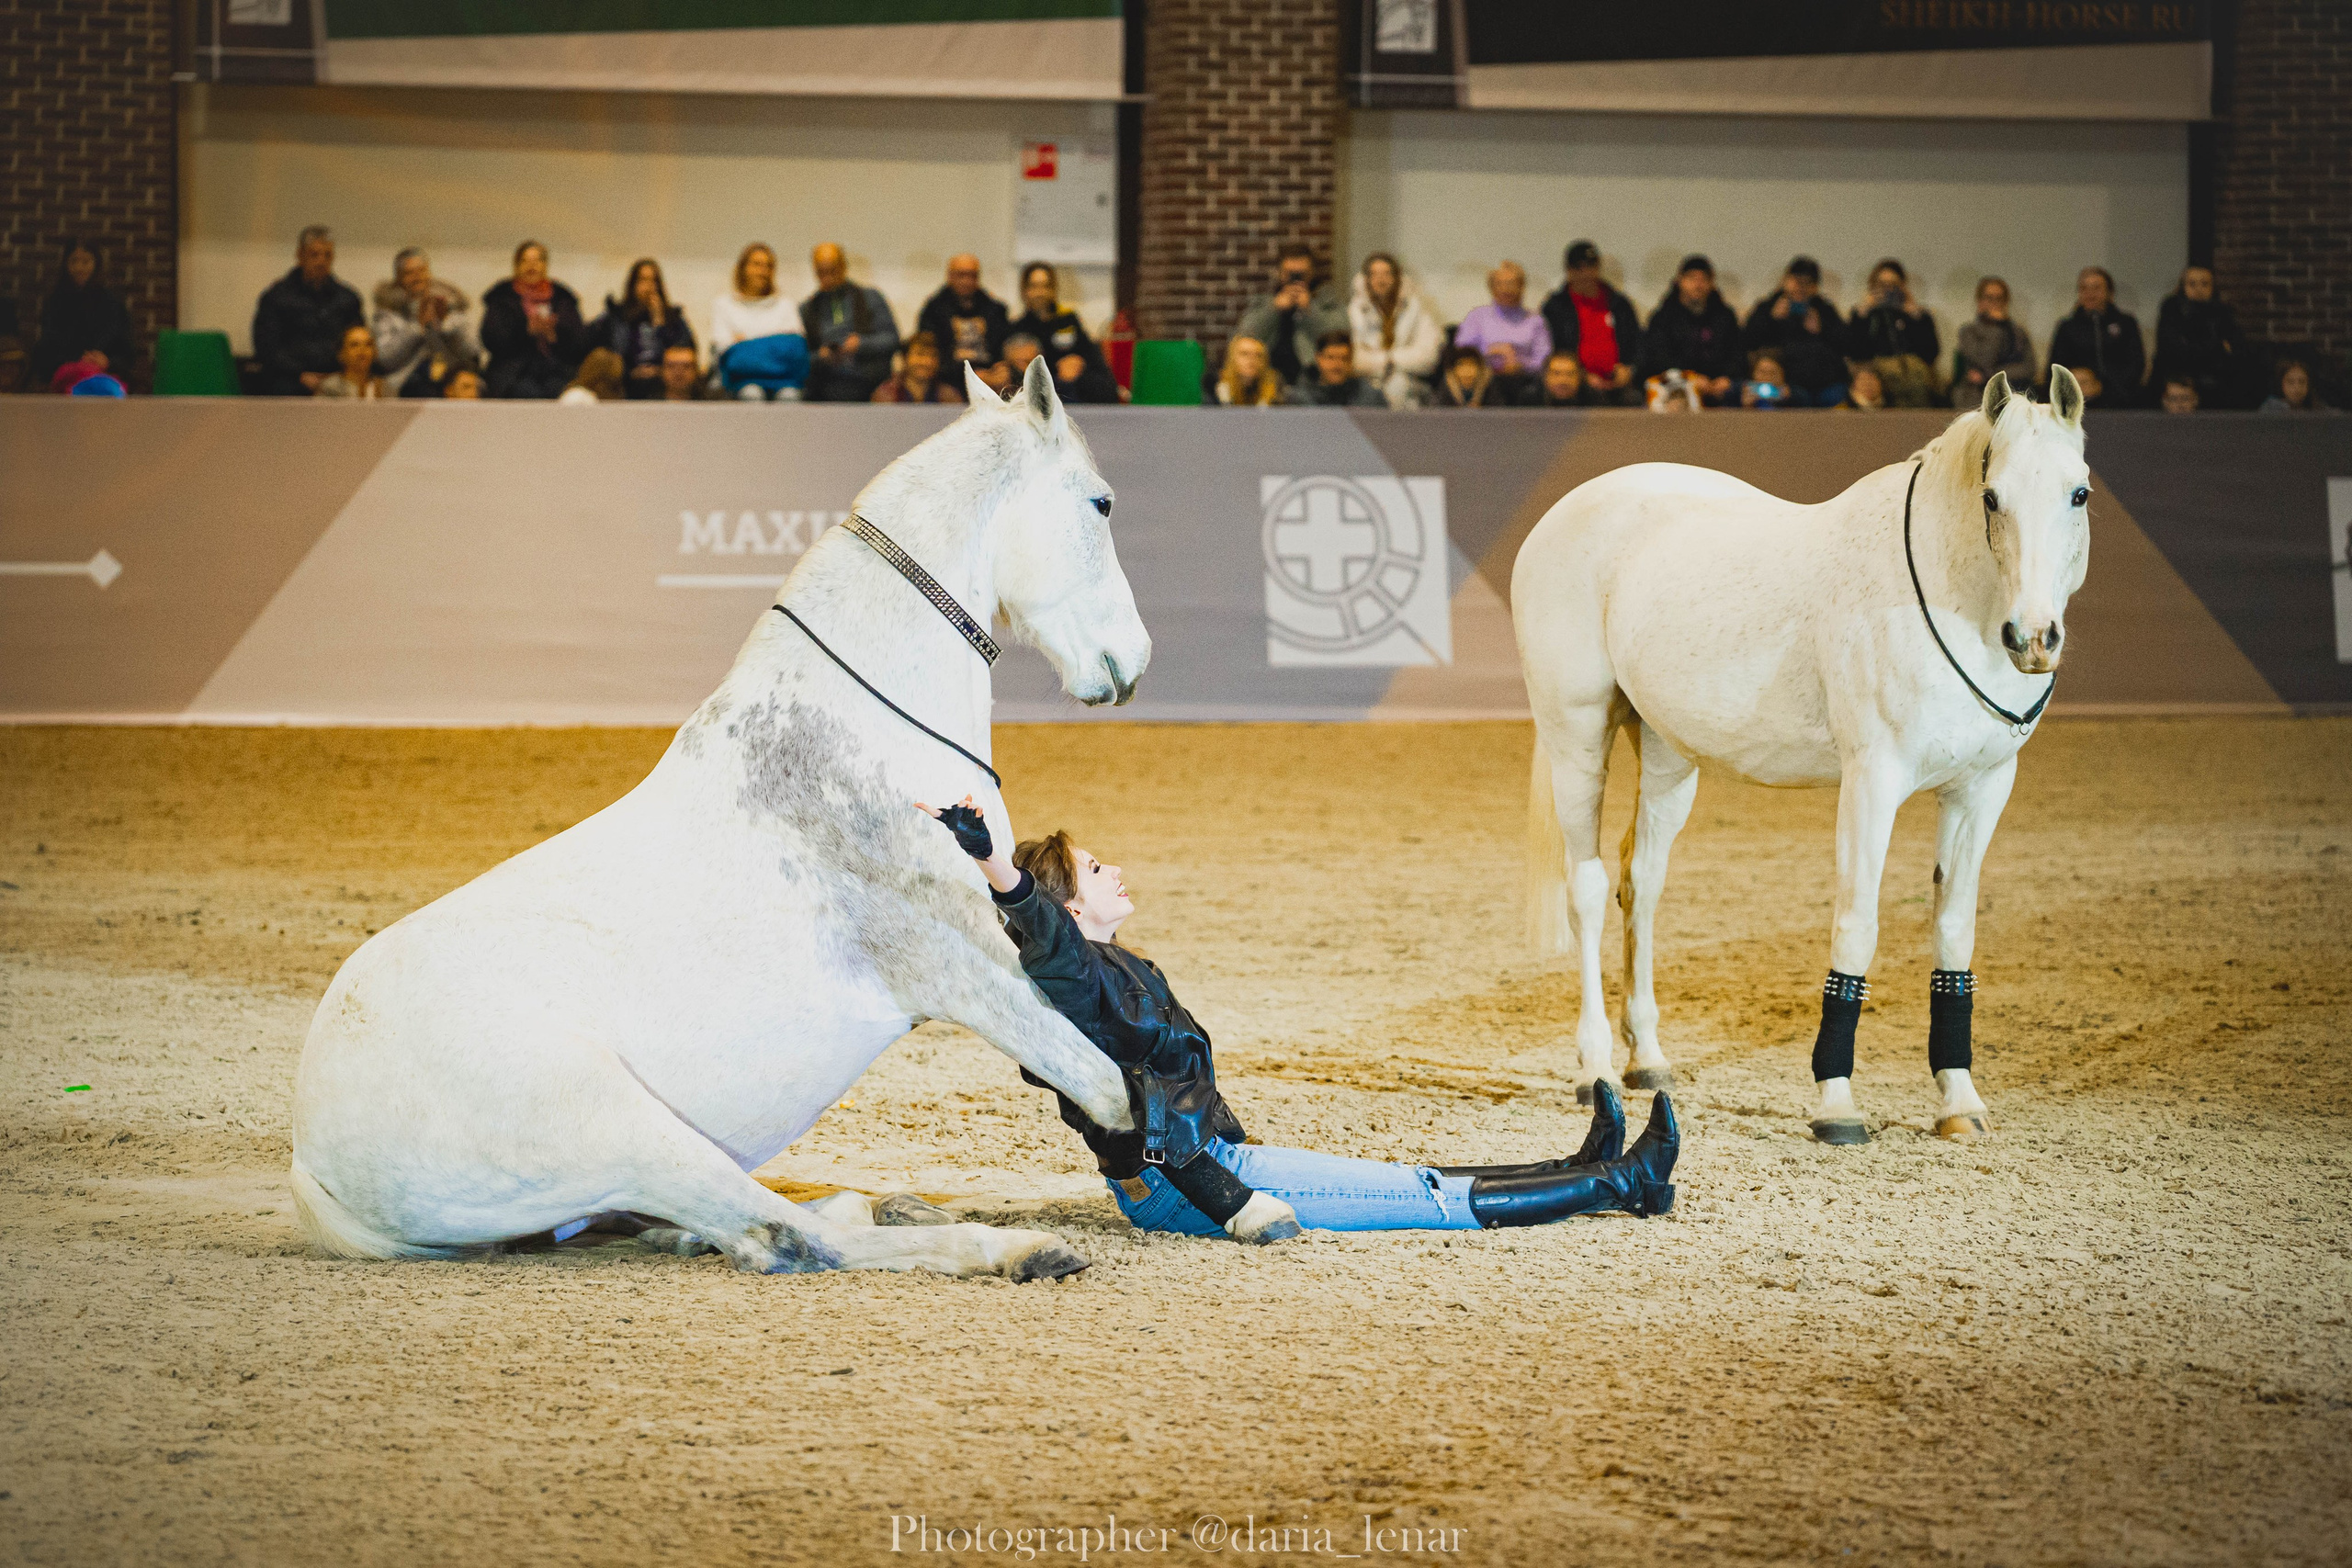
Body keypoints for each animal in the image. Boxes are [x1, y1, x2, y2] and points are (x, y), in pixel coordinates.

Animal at [290, 358, 1158, 1276]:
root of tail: (311, 1164)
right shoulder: (965, 968)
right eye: (1101, 503)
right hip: (625, 1127)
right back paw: (1011, 1246)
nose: (1132, 659)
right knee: (781, 1237)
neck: (861, 742)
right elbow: (1107, 1082)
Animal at [1514, 369, 2090, 1143]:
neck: (1952, 598)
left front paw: (1959, 1099)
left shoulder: (1982, 788)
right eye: (1992, 496)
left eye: (2078, 492)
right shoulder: (1872, 780)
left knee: (1643, 881)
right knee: (1587, 887)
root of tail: (1563, 514)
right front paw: (1837, 1102)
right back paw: (1597, 1068)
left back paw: (1650, 1060)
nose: (2033, 638)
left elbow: (1953, 930)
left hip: (1668, 754)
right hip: (1576, 737)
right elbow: (1858, 922)